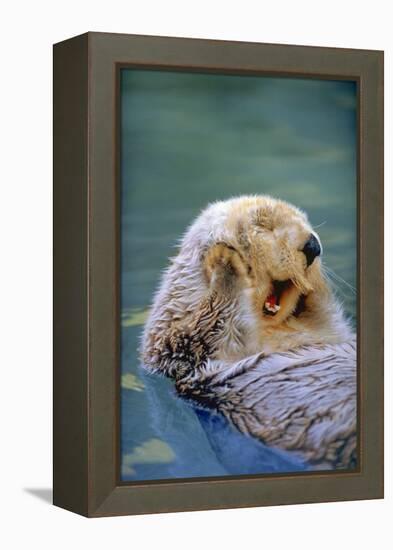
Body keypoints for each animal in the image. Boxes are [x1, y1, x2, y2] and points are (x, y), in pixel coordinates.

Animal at [141, 196, 356, 472]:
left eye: (306, 222)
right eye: (264, 226)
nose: (313, 245)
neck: (273, 328)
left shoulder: (327, 330)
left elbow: (327, 318)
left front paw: (315, 284)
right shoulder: (182, 345)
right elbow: (211, 325)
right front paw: (224, 260)